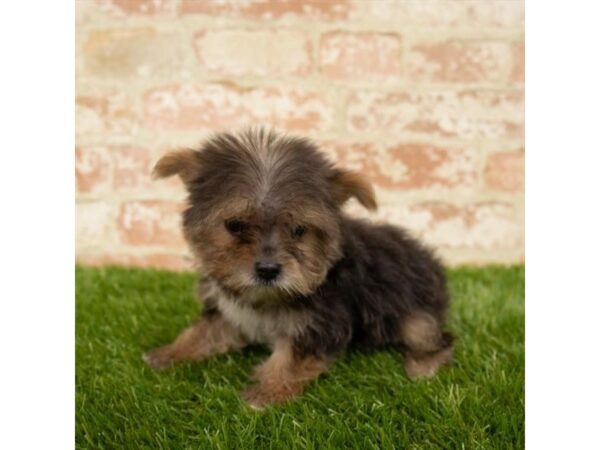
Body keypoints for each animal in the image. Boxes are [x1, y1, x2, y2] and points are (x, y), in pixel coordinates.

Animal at [145, 126, 452, 408]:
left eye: (298, 230)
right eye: (235, 225)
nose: (268, 269)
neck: (267, 298)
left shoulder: (319, 321)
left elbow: (292, 358)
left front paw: (266, 393)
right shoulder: (228, 308)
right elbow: (204, 331)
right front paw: (169, 353)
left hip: (412, 307)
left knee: (433, 335)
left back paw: (423, 365)